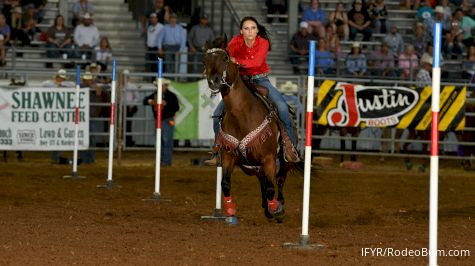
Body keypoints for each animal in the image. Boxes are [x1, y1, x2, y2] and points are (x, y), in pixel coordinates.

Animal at [203, 38, 300, 220]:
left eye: (225, 58)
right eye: (204, 61)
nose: (214, 81)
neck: (243, 114)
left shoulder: (269, 158)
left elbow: (271, 186)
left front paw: (276, 208)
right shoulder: (228, 156)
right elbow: (225, 183)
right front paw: (230, 209)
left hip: (285, 161)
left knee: (279, 180)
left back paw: (279, 207)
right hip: (249, 166)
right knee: (262, 179)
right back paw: (266, 207)